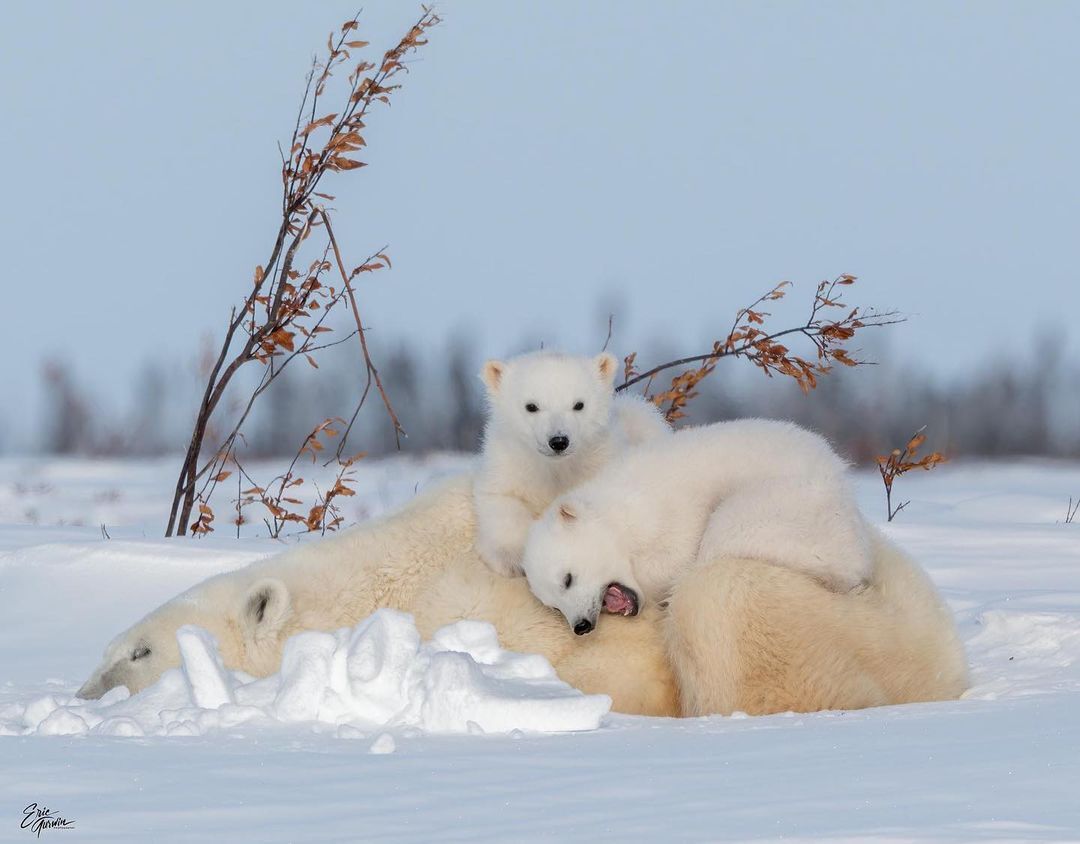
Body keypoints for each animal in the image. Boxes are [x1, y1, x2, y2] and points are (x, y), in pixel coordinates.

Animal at [479, 350, 669, 579]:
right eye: (531, 406)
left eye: (579, 404)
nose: (559, 441)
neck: (556, 468)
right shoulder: (509, 462)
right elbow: (502, 499)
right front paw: (510, 561)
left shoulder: (600, 458)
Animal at [520, 414, 868, 631]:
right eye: (553, 605)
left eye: (567, 579)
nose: (581, 626)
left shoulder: (667, 509)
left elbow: (675, 553)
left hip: (780, 504)